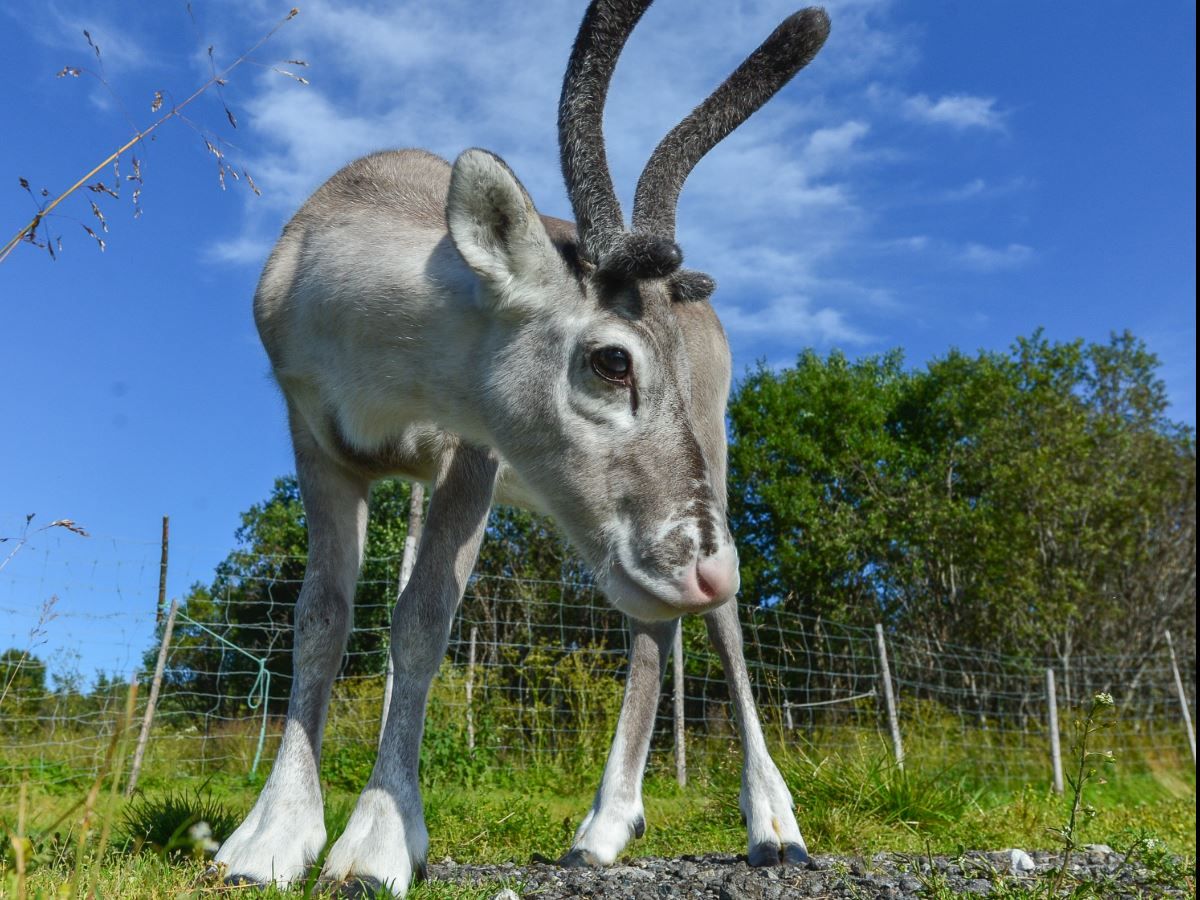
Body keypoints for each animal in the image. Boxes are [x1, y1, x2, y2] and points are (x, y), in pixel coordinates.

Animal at [212, 1, 830, 894]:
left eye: (669, 367)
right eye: (613, 359)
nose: (706, 566)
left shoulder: (473, 456)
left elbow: (421, 617)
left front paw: (375, 846)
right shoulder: (315, 439)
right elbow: (320, 617)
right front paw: (266, 841)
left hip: (710, 458)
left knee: (724, 625)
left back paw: (774, 827)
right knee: (652, 627)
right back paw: (601, 831)